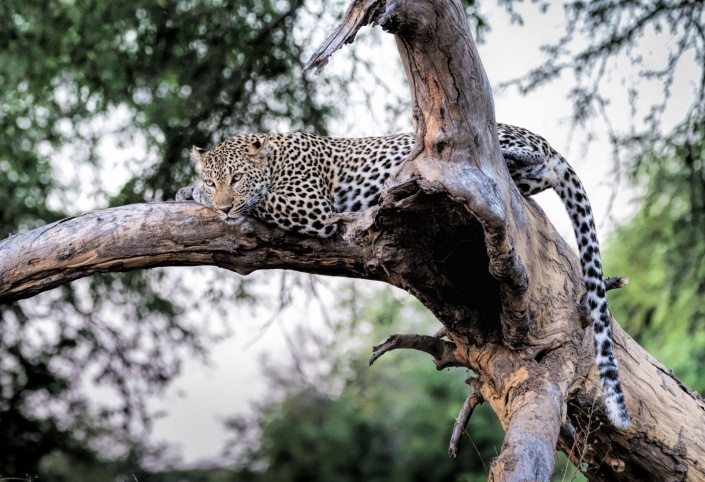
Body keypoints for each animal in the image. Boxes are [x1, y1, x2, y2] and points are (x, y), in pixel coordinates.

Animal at [176, 124, 631, 429]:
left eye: (236, 178)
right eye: (213, 179)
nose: (223, 207)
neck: (274, 156)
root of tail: (544, 142)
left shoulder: (310, 207)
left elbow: (262, 200)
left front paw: (195, 195)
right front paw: (191, 190)